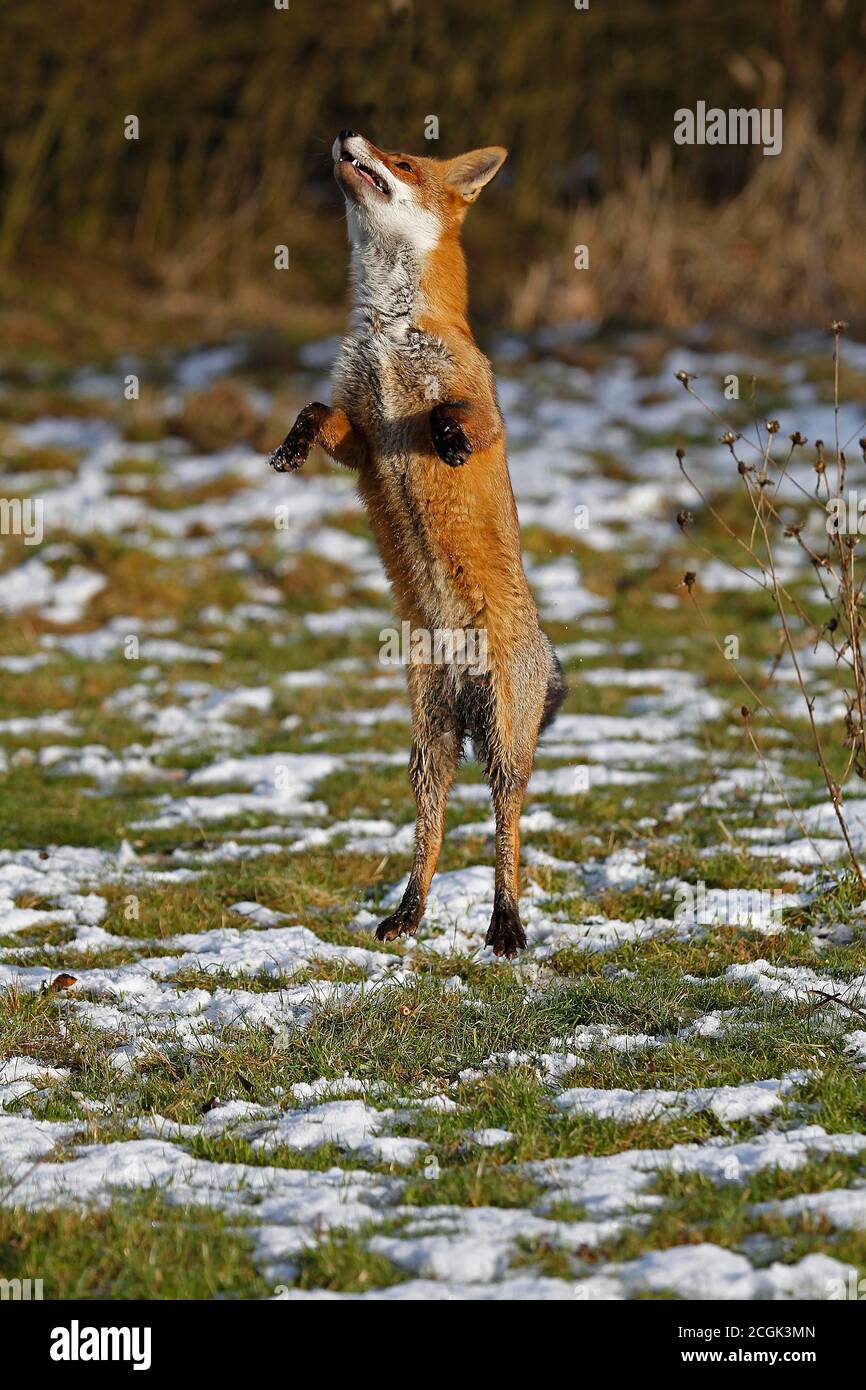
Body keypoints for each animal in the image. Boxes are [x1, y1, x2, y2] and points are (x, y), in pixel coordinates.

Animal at [271, 130, 569, 956]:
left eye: (402, 162)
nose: (346, 134)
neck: (389, 334)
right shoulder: (361, 439)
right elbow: (318, 412)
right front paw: (290, 445)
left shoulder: (483, 400)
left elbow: (457, 412)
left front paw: (446, 437)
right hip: (428, 744)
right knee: (430, 834)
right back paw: (408, 915)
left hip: (502, 742)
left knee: (506, 831)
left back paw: (506, 926)